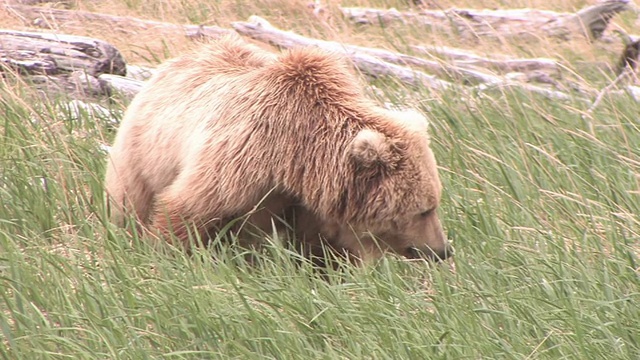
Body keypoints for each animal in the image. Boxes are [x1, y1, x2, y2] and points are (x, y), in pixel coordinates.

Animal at [105, 35, 452, 262]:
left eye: (434, 202)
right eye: (424, 209)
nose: (443, 249)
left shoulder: (311, 203)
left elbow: (325, 250)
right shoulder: (242, 156)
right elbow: (187, 209)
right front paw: (169, 255)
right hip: (141, 154)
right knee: (131, 203)